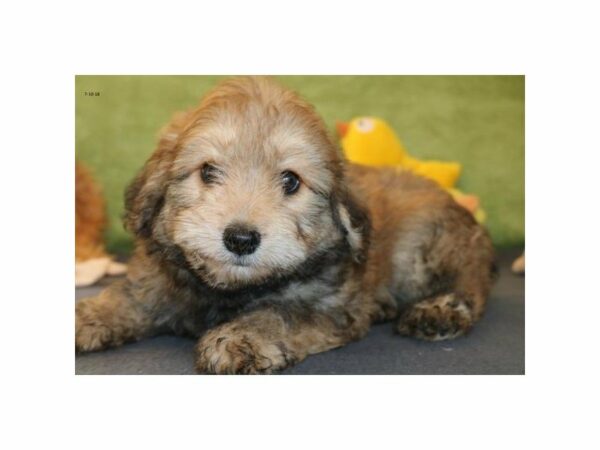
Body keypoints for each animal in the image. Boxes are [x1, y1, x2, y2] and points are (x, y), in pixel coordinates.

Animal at [75, 76, 494, 372]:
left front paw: (240, 336)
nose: (241, 238)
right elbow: (125, 296)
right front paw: (88, 314)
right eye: (207, 171)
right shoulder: (156, 279)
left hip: (426, 248)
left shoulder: (331, 303)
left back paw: (440, 308)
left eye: (291, 181)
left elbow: (282, 313)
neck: (228, 290)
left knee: (469, 279)